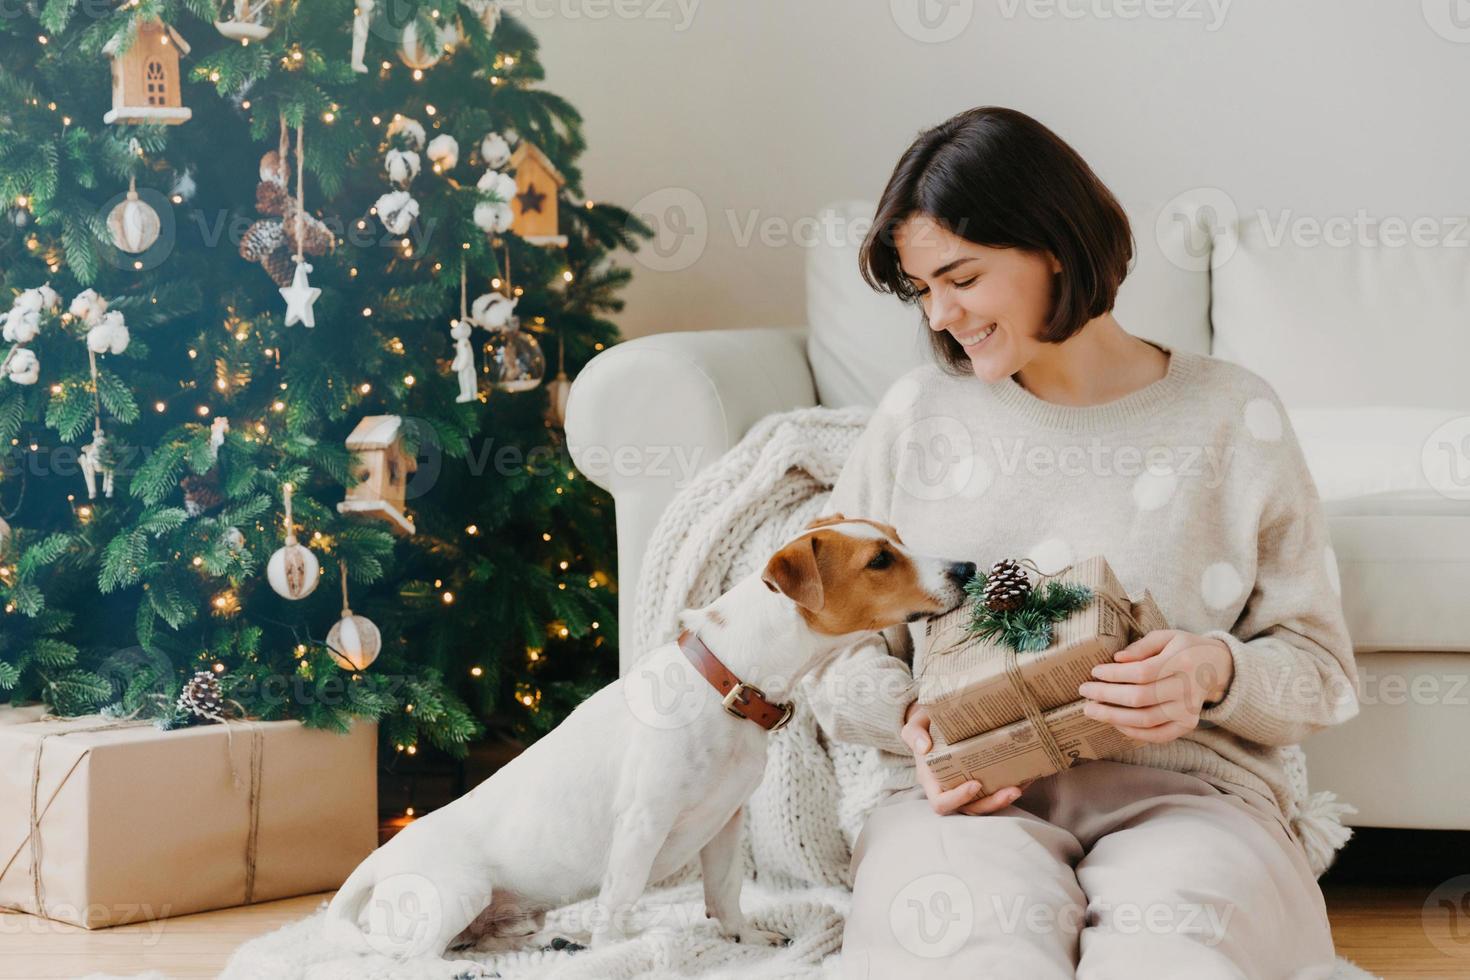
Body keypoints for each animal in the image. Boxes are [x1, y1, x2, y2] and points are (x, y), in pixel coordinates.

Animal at [330, 514, 976, 957]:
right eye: (880, 561)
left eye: (897, 538)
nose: (967, 568)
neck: (728, 685)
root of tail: (380, 856)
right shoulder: (642, 823)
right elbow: (619, 902)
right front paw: (616, 953)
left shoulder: (727, 821)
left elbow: (725, 892)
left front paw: (747, 939)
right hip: (456, 892)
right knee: (404, 959)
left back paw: (548, 947)